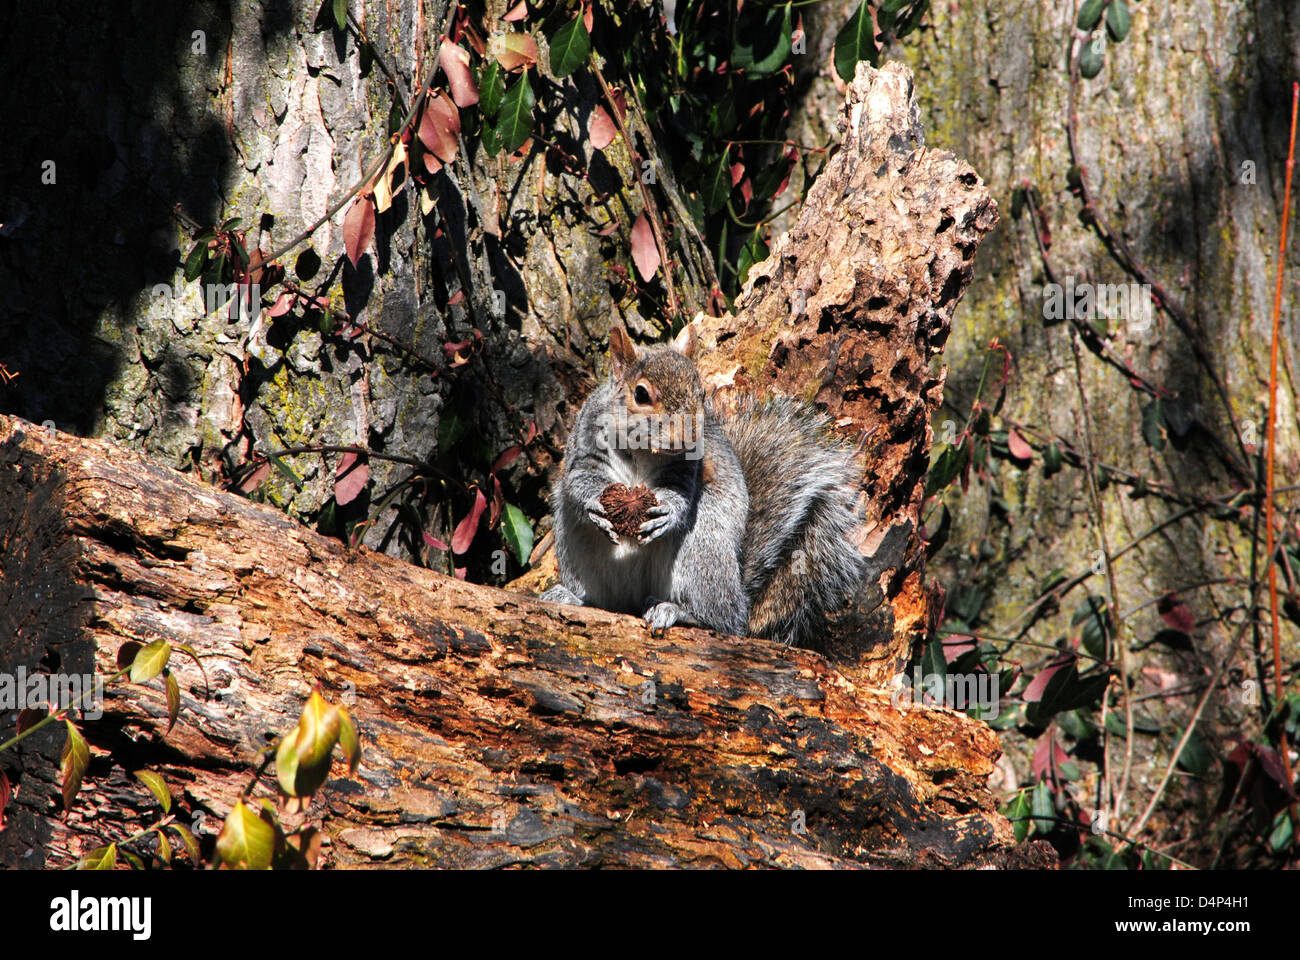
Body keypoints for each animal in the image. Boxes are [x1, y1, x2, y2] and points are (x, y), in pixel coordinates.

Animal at [541, 323, 864, 647]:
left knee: (724, 621)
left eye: (701, 392)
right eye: (641, 394)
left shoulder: (685, 467)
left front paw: (667, 512)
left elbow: (682, 492)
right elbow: (580, 476)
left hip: (702, 550)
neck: (642, 450)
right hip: (576, 551)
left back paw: (677, 611)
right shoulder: (587, 441)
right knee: (604, 601)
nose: (687, 437)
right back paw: (570, 597)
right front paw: (595, 504)